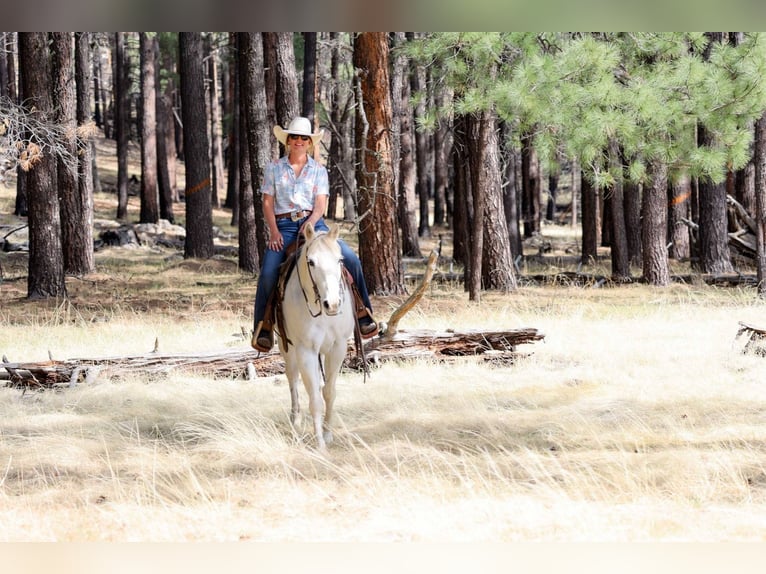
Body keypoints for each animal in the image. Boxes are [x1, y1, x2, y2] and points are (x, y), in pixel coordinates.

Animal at [275, 222, 356, 451]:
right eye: (311, 262)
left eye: (340, 260)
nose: (333, 304)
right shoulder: (306, 350)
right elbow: (315, 398)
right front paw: (319, 443)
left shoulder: (338, 347)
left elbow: (328, 392)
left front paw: (327, 435)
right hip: (286, 347)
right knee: (292, 378)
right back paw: (295, 420)